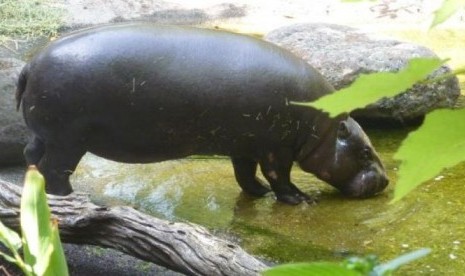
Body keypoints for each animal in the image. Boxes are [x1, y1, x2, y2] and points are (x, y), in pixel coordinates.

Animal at [16, 23, 388, 205]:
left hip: (46, 135)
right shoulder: (275, 149)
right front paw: (300, 200)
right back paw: (67, 196)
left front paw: (258, 194)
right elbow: (279, 177)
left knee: (32, 155)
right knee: (55, 169)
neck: (323, 126)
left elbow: (245, 174)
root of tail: (30, 64)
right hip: (68, 141)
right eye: (365, 151)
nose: (385, 181)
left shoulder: (245, 144)